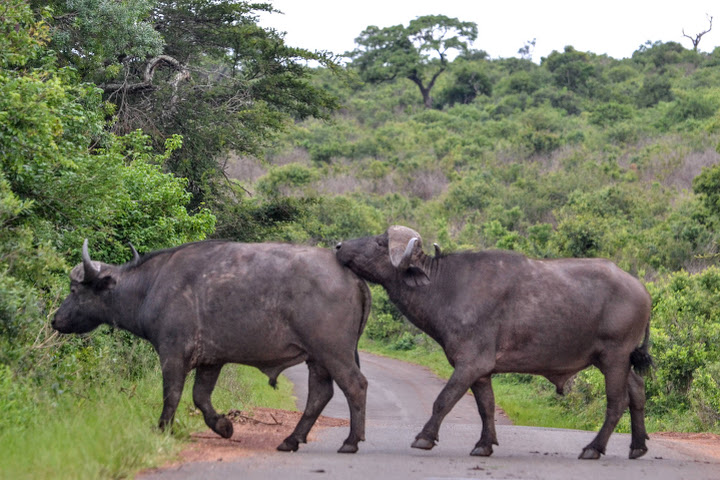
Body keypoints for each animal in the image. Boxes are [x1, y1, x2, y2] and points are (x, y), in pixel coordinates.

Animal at [52, 240, 372, 454]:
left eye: (74, 290)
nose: (56, 319)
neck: (151, 285)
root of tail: (352, 276)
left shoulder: (172, 353)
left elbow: (172, 394)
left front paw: (163, 428)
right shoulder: (211, 361)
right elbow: (200, 397)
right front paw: (224, 426)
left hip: (333, 352)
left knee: (355, 385)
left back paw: (350, 442)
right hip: (316, 358)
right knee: (320, 394)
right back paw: (291, 440)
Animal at [336, 227, 652, 460]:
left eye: (380, 243)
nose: (339, 246)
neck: (446, 288)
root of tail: (643, 291)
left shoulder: (469, 364)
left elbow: (444, 400)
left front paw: (424, 437)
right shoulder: (482, 371)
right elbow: (486, 407)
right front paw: (484, 445)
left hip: (614, 356)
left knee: (617, 402)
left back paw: (593, 448)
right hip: (614, 359)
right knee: (637, 390)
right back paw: (637, 446)